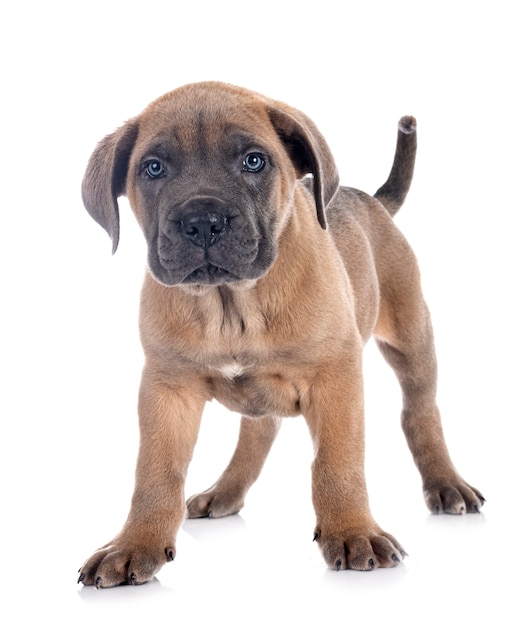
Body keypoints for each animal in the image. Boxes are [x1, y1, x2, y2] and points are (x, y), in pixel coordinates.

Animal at [78, 81, 486, 584]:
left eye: (254, 161)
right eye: (153, 168)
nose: (203, 221)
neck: (231, 304)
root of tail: (370, 199)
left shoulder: (336, 379)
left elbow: (337, 462)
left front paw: (352, 531)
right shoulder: (166, 388)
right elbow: (155, 472)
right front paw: (135, 544)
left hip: (412, 334)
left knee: (421, 412)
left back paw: (446, 483)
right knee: (259, 430)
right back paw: (225, 491)